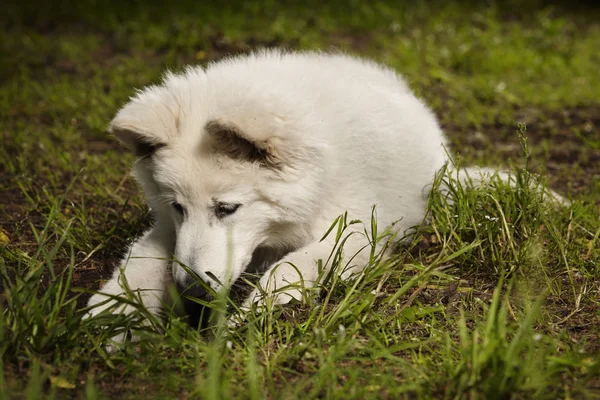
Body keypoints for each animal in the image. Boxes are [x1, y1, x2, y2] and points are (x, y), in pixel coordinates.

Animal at [88, 49, 468, 318]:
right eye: (178, 207)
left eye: (227, 208)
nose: (192, 294)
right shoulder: (169, 227)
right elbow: (143, 257)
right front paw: (115, 312)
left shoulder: (357, 232)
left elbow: (294, 265)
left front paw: (250, 317)